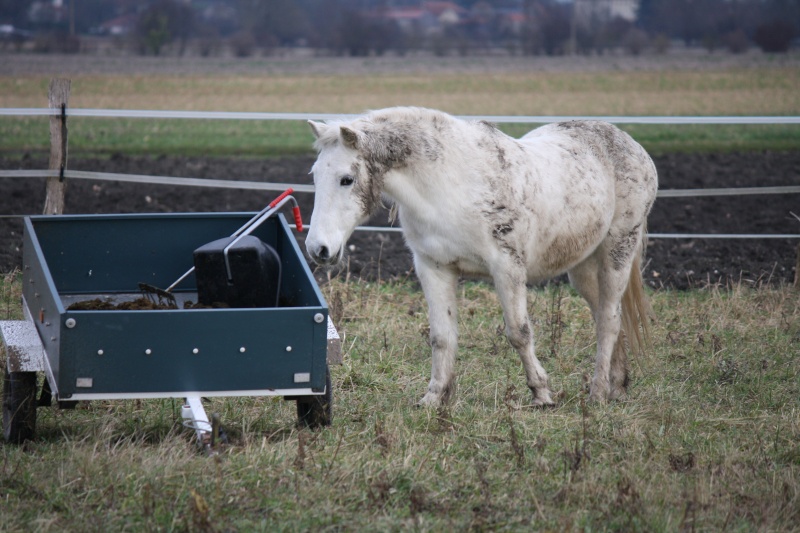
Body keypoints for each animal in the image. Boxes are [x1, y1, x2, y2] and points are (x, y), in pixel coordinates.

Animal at [306, 109, 656, 408]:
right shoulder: (433, 268)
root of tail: (631, 145)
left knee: (609, 320)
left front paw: (541, 394)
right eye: (314, 175)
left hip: (617, 251)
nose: (317, 249)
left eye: (346, 179)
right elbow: (442, 337)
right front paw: (433, 398)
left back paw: (597, 393)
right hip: (582, 266)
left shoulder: (507, 267)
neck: (448, 185)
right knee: (605, 316)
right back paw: (616, 387)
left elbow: (518, 332)